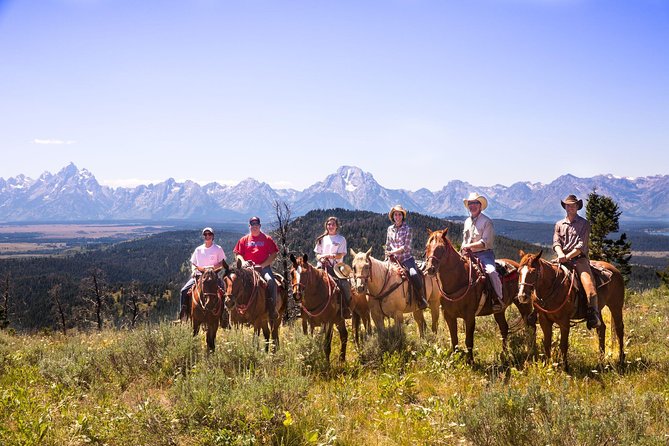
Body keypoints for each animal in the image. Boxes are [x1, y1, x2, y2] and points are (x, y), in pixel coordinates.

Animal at [424, 228, 533, 363]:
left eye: (441, 248)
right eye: (427, 247)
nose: (430, 269)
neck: (459, 280)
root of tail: (518, 265)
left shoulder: (470, 316)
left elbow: (469, 341)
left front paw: (470, 362)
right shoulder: (449, 315)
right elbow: (454, 340)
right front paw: (455, 359)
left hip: (523, 304)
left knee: (530, 326)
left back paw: (531, 348)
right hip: (499, 311)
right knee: (504, 328)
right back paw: (504, 353)